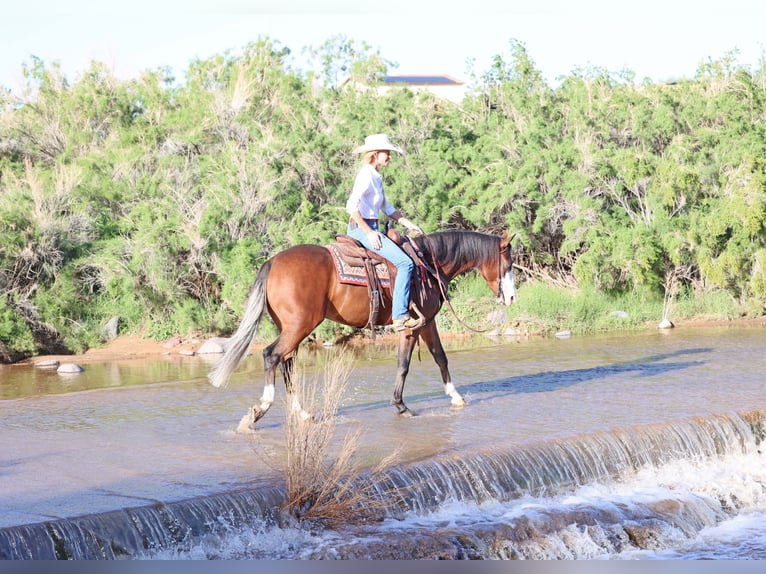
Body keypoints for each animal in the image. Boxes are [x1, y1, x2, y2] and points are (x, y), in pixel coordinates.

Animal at [208, 229, 516, 427]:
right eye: (509, 263)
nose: (512, 297)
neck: (428, 264)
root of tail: (273, 262)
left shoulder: (427, 322)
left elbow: (440, 357)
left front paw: (455, 396)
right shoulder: (412, 326)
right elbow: (404, 365)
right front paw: (401, 405)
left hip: (290, 327)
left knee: (287, 362)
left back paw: (303, 414)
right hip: (299, 325)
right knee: (272, 356)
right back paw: (259, 411)